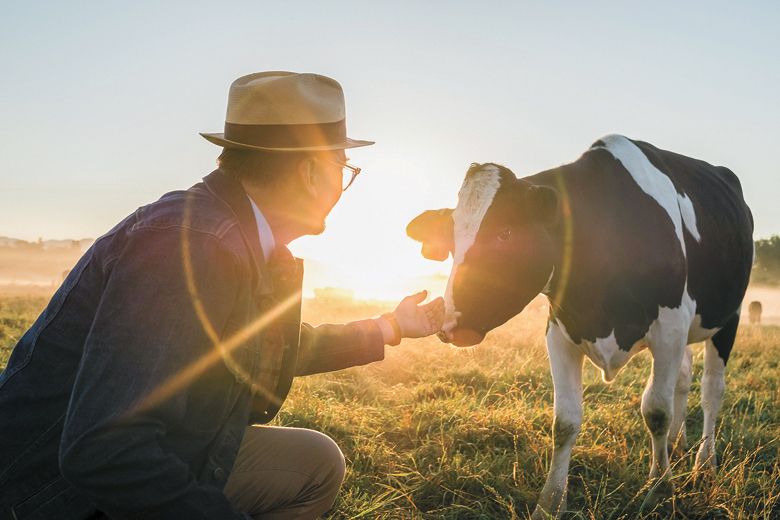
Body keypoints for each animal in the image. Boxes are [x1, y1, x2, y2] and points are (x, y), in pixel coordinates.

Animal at [408, 135, 756, 520]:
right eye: (452, 241)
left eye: (505, 233)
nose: (449, 324)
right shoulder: (560, 332)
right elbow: (565, 421)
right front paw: (550, 501)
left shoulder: (669, 328)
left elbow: (656, 410)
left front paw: (659, 488)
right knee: (683, 376)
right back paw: (678, 444)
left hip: (728, 318)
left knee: (711, 391)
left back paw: (704, 462)